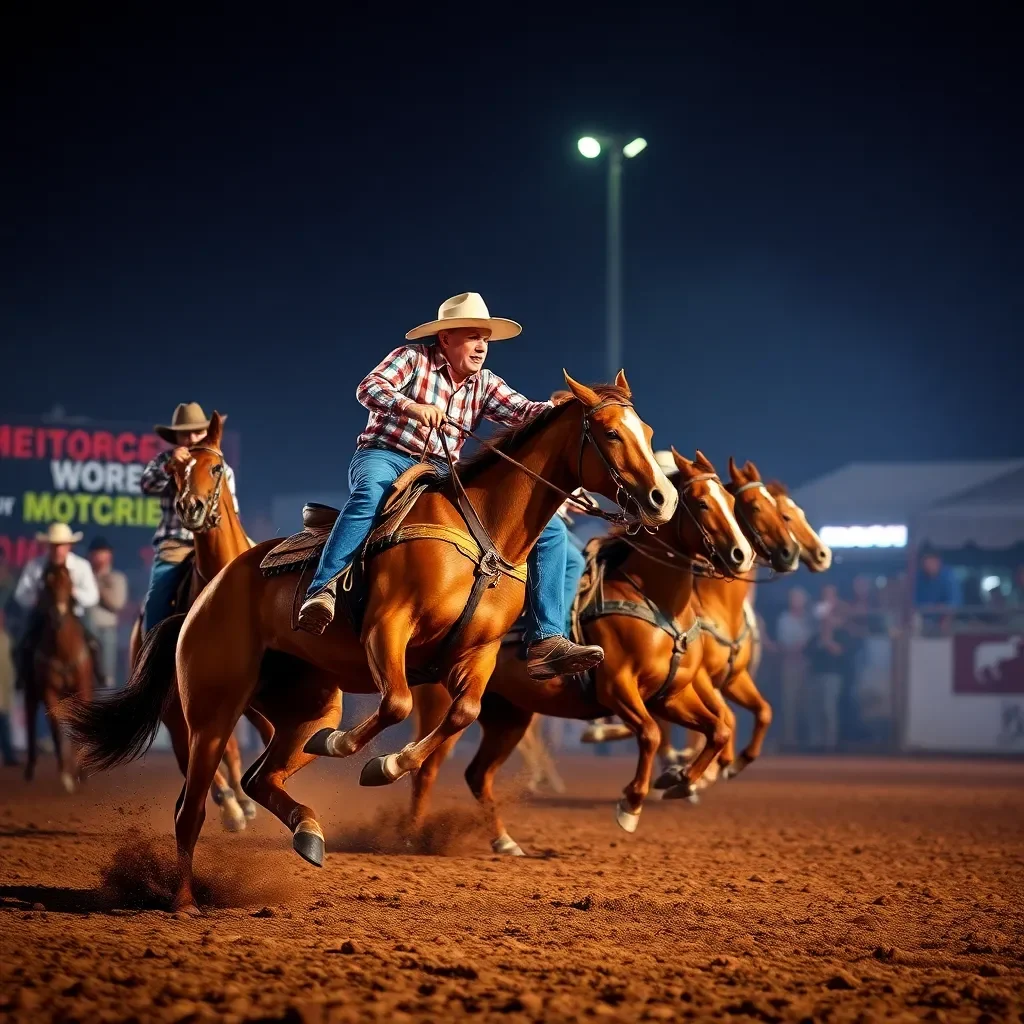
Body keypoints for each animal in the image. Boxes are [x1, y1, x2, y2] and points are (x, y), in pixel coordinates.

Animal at [24, 561, 93, 790]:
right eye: (47, 585)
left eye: (69, 583)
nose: (58, 615)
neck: (63, 652)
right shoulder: (49, 692)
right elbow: (55, 727)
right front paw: (66, 775)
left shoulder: (82, 690)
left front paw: (80, 772)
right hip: (30, 693)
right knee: (30, 721)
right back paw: (30, 768)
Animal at [74, 372, 679, 909]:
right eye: (609, 433)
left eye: (647, 430)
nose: (660, 499)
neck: (481, 532)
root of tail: (204, 598)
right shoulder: (387, 627)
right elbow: (397, 702)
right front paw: (355, 753)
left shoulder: (477, 654)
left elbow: (460, 714)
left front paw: (385, 763)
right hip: (210, 711)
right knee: (192, 806)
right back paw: (183, 900)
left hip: (306, 706)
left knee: (259, 775)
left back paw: (308, 831)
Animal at [407, 450, 782, 856]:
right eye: (701, 502)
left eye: (730, 502)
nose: (741, 555)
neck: (655, 604)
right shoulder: (618, 688)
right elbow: (651, 734)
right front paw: (631, 804)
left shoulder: (670, 695)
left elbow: (718, 729)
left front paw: (682, 780)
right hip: (446, 705)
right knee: (425, 767)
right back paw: (410, 833)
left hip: (508, 716)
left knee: (477, 774)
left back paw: (504, 840)